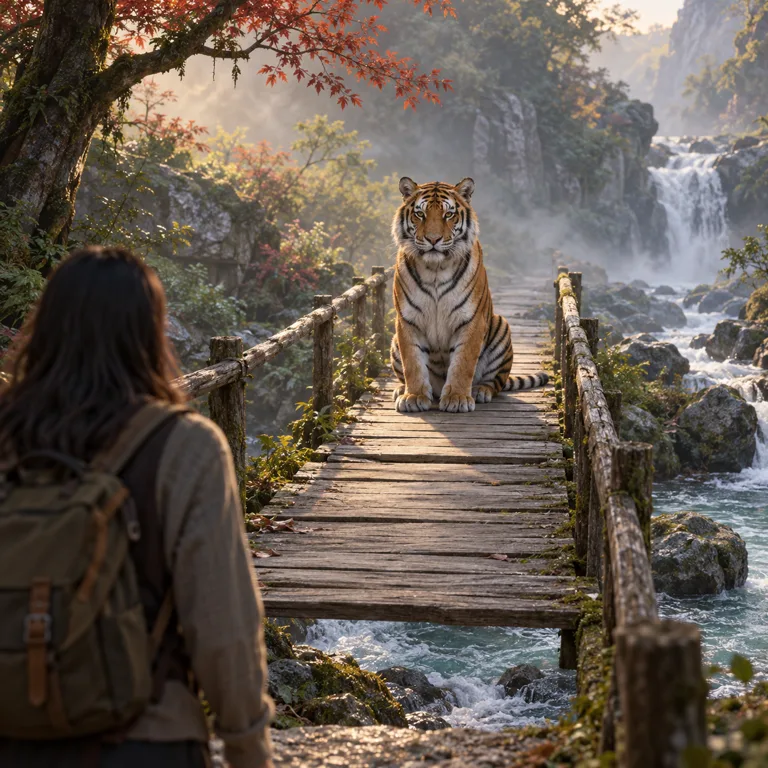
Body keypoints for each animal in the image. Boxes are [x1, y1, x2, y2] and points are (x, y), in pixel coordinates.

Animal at [390, 176, 549, 413]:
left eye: (448, 214)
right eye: (420, 214)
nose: (433, 239)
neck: (435, 269)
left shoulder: (471, 320)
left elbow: (463, 363)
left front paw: (457, 398)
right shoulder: (407, 320)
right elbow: (413, 362)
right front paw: (414, 396)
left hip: (500, 326)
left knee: (496, 382)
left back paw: (479, 391)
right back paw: (402, 389)